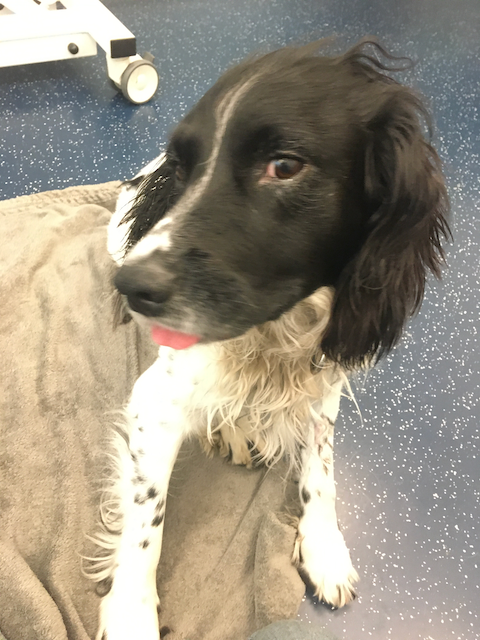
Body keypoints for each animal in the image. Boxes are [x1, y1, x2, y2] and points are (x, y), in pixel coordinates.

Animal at [90, 38, 449, 640]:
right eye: (184, 169)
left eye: (284, 166)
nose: (134, 287)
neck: (270, 339)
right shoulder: (153, 403)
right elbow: (147, 522)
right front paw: (131, 615)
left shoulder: (324, 381)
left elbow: (321, 468)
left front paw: (324, 544)